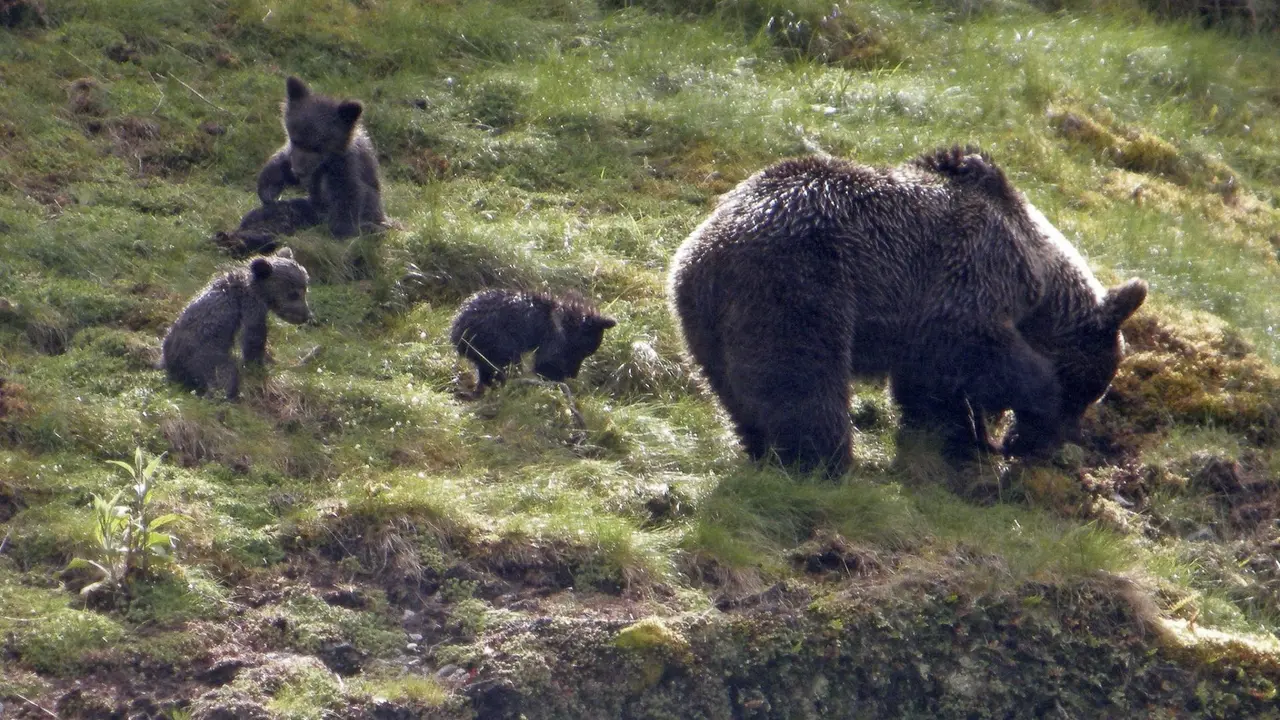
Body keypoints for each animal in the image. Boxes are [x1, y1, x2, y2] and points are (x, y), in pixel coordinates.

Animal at [162, 247, 313, 400]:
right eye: (293, 294)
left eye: (305, 288)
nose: (307, 316)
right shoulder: (251, 307)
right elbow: (253, 338)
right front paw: (260, 367)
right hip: (205, 356)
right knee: (224, 374)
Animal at [255, 76, 386, 239]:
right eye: (295, 140)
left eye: (318, 146)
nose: (299, 171)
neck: (325, 163)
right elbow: (280, 163)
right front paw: (268, 189)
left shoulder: (346, 168)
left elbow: (349, 195)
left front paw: (344, 230)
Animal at [450, 289, 617, 397]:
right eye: (582, 350)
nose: (573, 374)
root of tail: (458, 329)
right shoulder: (552, 340)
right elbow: (546, 364)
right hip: (498, 343)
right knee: (504, 367)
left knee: (487, 372)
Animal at [667, 146, 1147, 474]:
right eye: (1085, 390)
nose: (1041, 444)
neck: (1039, 274)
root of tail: (708, 249)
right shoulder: (970, 272)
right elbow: (972, 345)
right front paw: (1026, 400)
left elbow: (931, 383)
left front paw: (950, 435)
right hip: (799, 286)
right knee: (802, 377)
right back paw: (823, 461)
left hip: (702, 321)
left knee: (735, 388)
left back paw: (760, 444)